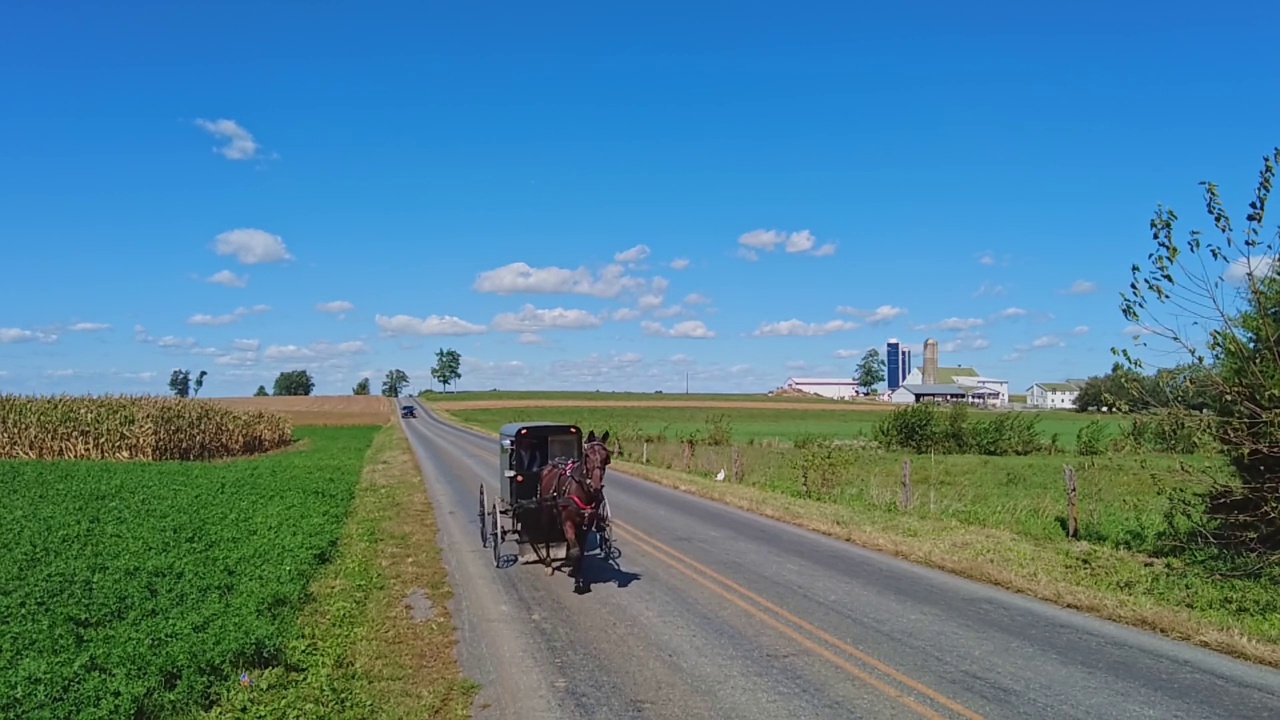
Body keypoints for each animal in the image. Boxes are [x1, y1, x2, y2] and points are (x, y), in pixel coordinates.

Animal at [537, 430, 611, 589]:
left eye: (606, 457)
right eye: (587, 455)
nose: (595, 487)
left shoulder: (586, 526)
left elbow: (581, 551)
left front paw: (577, 573)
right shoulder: (568, 523)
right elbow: (576, 551)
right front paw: (573, 570)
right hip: (546, 512)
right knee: (547, 536)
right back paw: (548, 563)